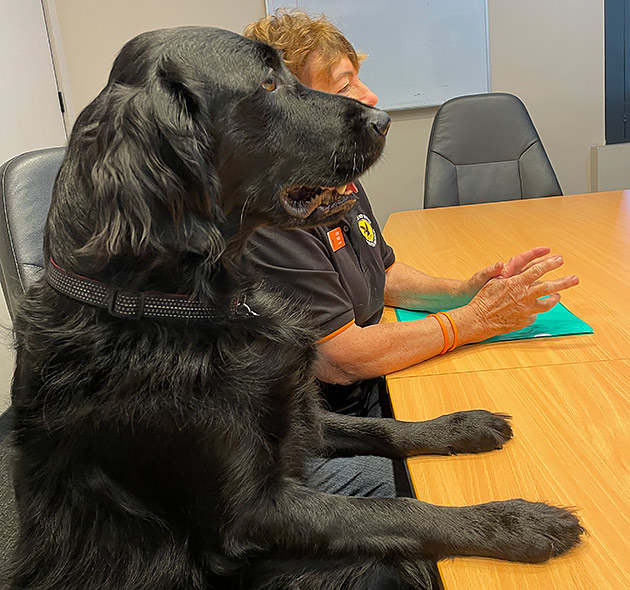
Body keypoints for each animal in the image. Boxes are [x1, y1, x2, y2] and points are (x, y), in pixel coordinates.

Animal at [6, 25, 588, 588]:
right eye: (266, 84)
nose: (382, 119)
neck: (179, 308)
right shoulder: (252, 515)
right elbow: (398, 512)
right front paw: (511, 522)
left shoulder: (299, 421)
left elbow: (385, 429)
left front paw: (459, 426)